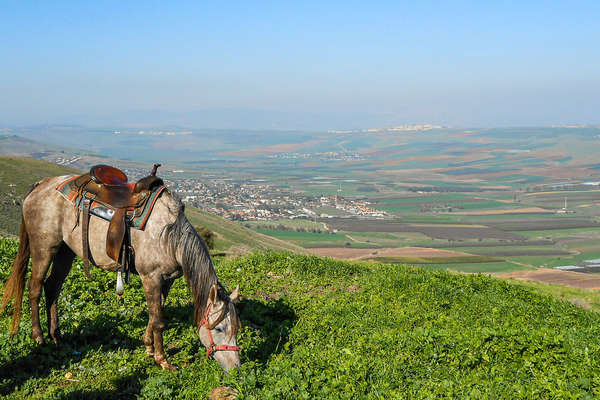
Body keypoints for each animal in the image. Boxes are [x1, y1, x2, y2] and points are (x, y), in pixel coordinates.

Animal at [0, 174, 239, 372]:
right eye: (218, 329)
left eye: (236, 329)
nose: (236, 368)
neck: (169, 235)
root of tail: (41, 185)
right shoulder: (151, 277)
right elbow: (158, 321)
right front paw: (162, 360)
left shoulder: (167, 280)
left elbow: (156, 314)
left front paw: (148, 347)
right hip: (44, 248)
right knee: (35, 287)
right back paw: (39, 337)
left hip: (66, 251)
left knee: (53, 287)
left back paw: (57, 337)